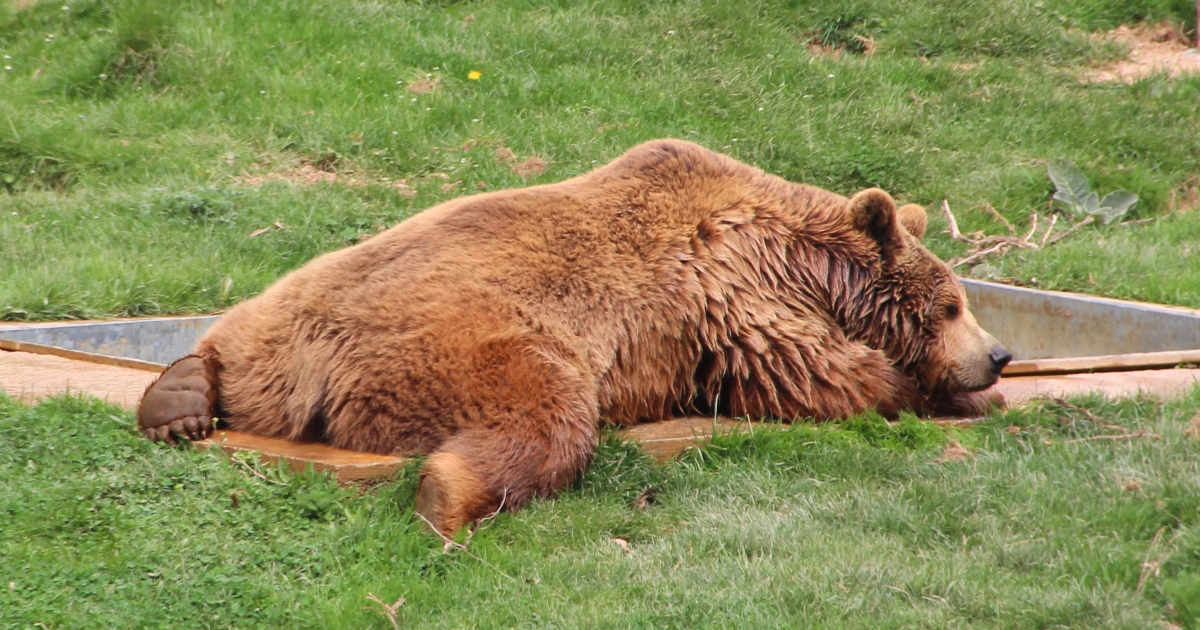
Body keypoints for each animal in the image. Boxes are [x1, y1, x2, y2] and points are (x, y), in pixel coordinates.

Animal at [136, 137, 1008, 530]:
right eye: (953, 304)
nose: (999, 355)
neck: (799, 257)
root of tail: (319, 357)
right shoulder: (731, 296)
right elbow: (813, 371)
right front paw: (943, 391)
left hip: (281, 314)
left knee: (227, 340)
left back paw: (177, 399)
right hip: (484, 343)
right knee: (545, 420)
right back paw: (446, 497)